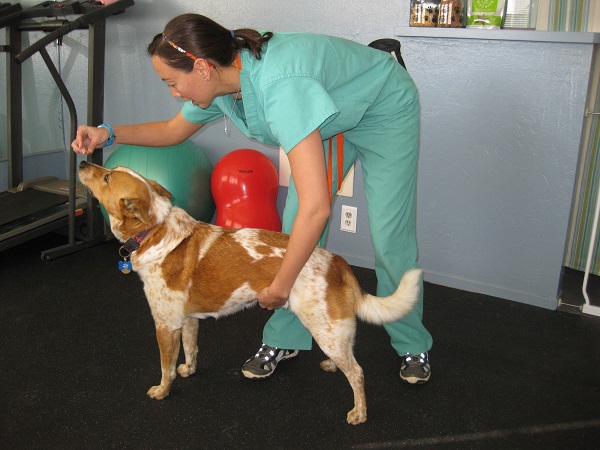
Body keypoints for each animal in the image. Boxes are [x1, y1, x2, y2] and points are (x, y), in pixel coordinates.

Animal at [77, 160, 420, 424]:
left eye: (107, 177)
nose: (82, 162)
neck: (155, 232)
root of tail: (337, 261)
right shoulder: (187, 320)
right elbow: (191, 350)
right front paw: (189, 369)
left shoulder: (164, 324)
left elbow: (166, 368)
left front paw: (162, 391)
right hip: (332, 330)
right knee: (347, 358)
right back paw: (332, 366)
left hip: (323, 327)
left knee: (358, 373)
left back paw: (359, 413)